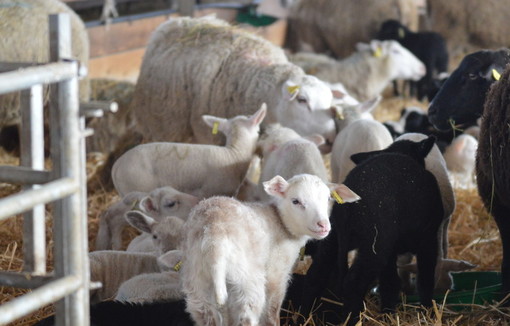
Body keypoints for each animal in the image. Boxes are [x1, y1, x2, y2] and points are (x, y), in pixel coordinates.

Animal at [129, 16, 340, 146]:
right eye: (302, 100)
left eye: (330, 102)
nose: (331, 140)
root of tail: (174, 21)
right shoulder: (212, 136)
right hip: (161, 124)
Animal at [181, 174, 360, 326]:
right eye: (296, 201)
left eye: (328, 198)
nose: (323, 225)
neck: (281, 222)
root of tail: (215, 236)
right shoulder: (277, 274)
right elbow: (272, 310)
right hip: (247, 279)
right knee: (248, 315)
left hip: (198, 286)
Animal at [298, 136, 442, 324]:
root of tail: (348, 204)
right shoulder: (428, 239)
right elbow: (425, 279)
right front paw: (428, 312)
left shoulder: (391, 249)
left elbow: (390, 283)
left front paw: (388, 315)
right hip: (376, 243)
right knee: (352, 283)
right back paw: (351, 319)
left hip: (334, 238)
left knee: (314, 277)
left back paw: (302, 318)